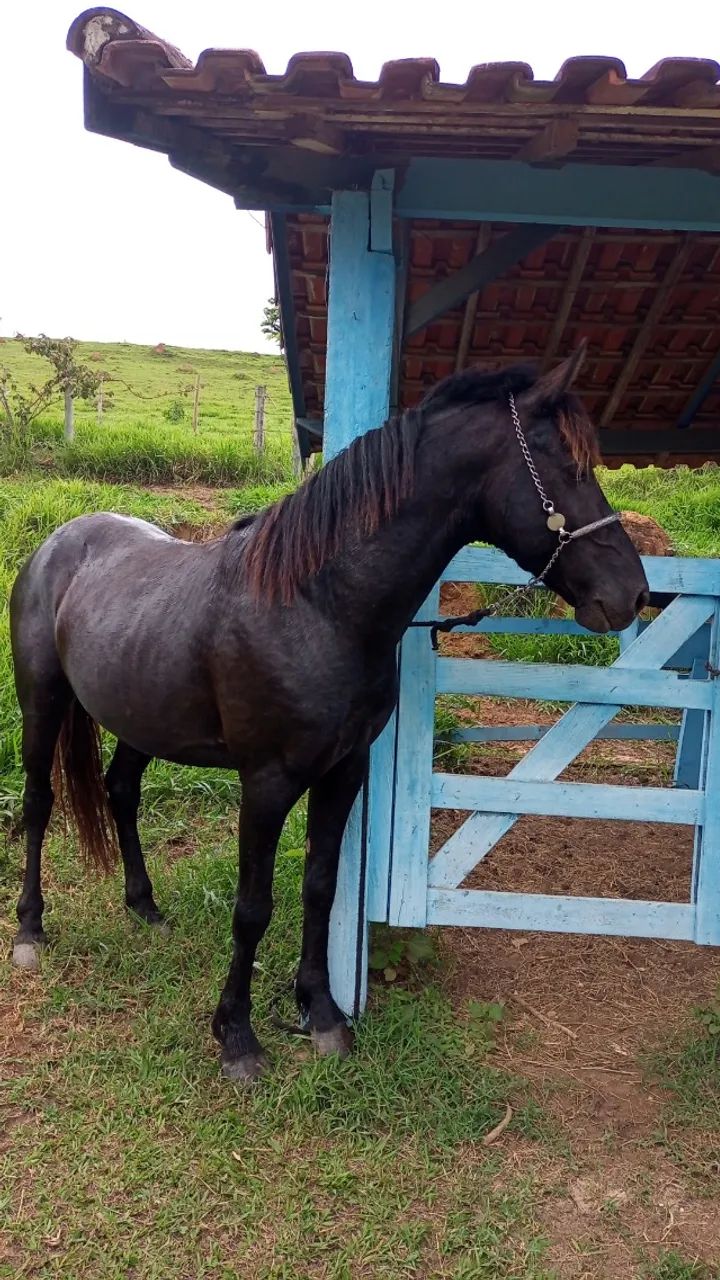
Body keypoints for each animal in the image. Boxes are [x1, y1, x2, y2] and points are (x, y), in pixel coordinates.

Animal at [9, 348, 649, 1083]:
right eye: (571, 468)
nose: (633, 594)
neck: (319, 603)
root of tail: (57, 543)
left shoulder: (345, 770)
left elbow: (321, 885)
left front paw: (321, 1014)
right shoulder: (266, 783)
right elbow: (253, 907)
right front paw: (237, 1036)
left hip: (141, 714)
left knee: (120, 791)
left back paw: (144, 906)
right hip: (43, 704)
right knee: (38, 802)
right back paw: (30, 930)